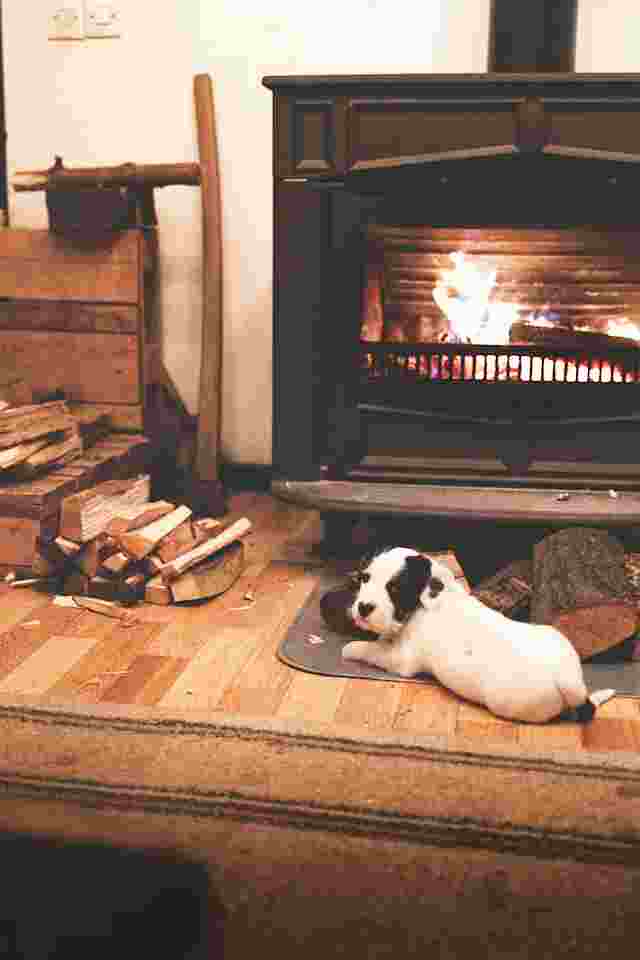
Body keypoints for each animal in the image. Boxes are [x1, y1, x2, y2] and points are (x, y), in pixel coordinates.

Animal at [344, 548, 616, 720]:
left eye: (395, 588)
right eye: (365, 579)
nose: (363, 607)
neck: (427, 602)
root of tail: (566, 678)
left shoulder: (400, 660)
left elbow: (370, 650)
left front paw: (351, 649)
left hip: (505, 703)